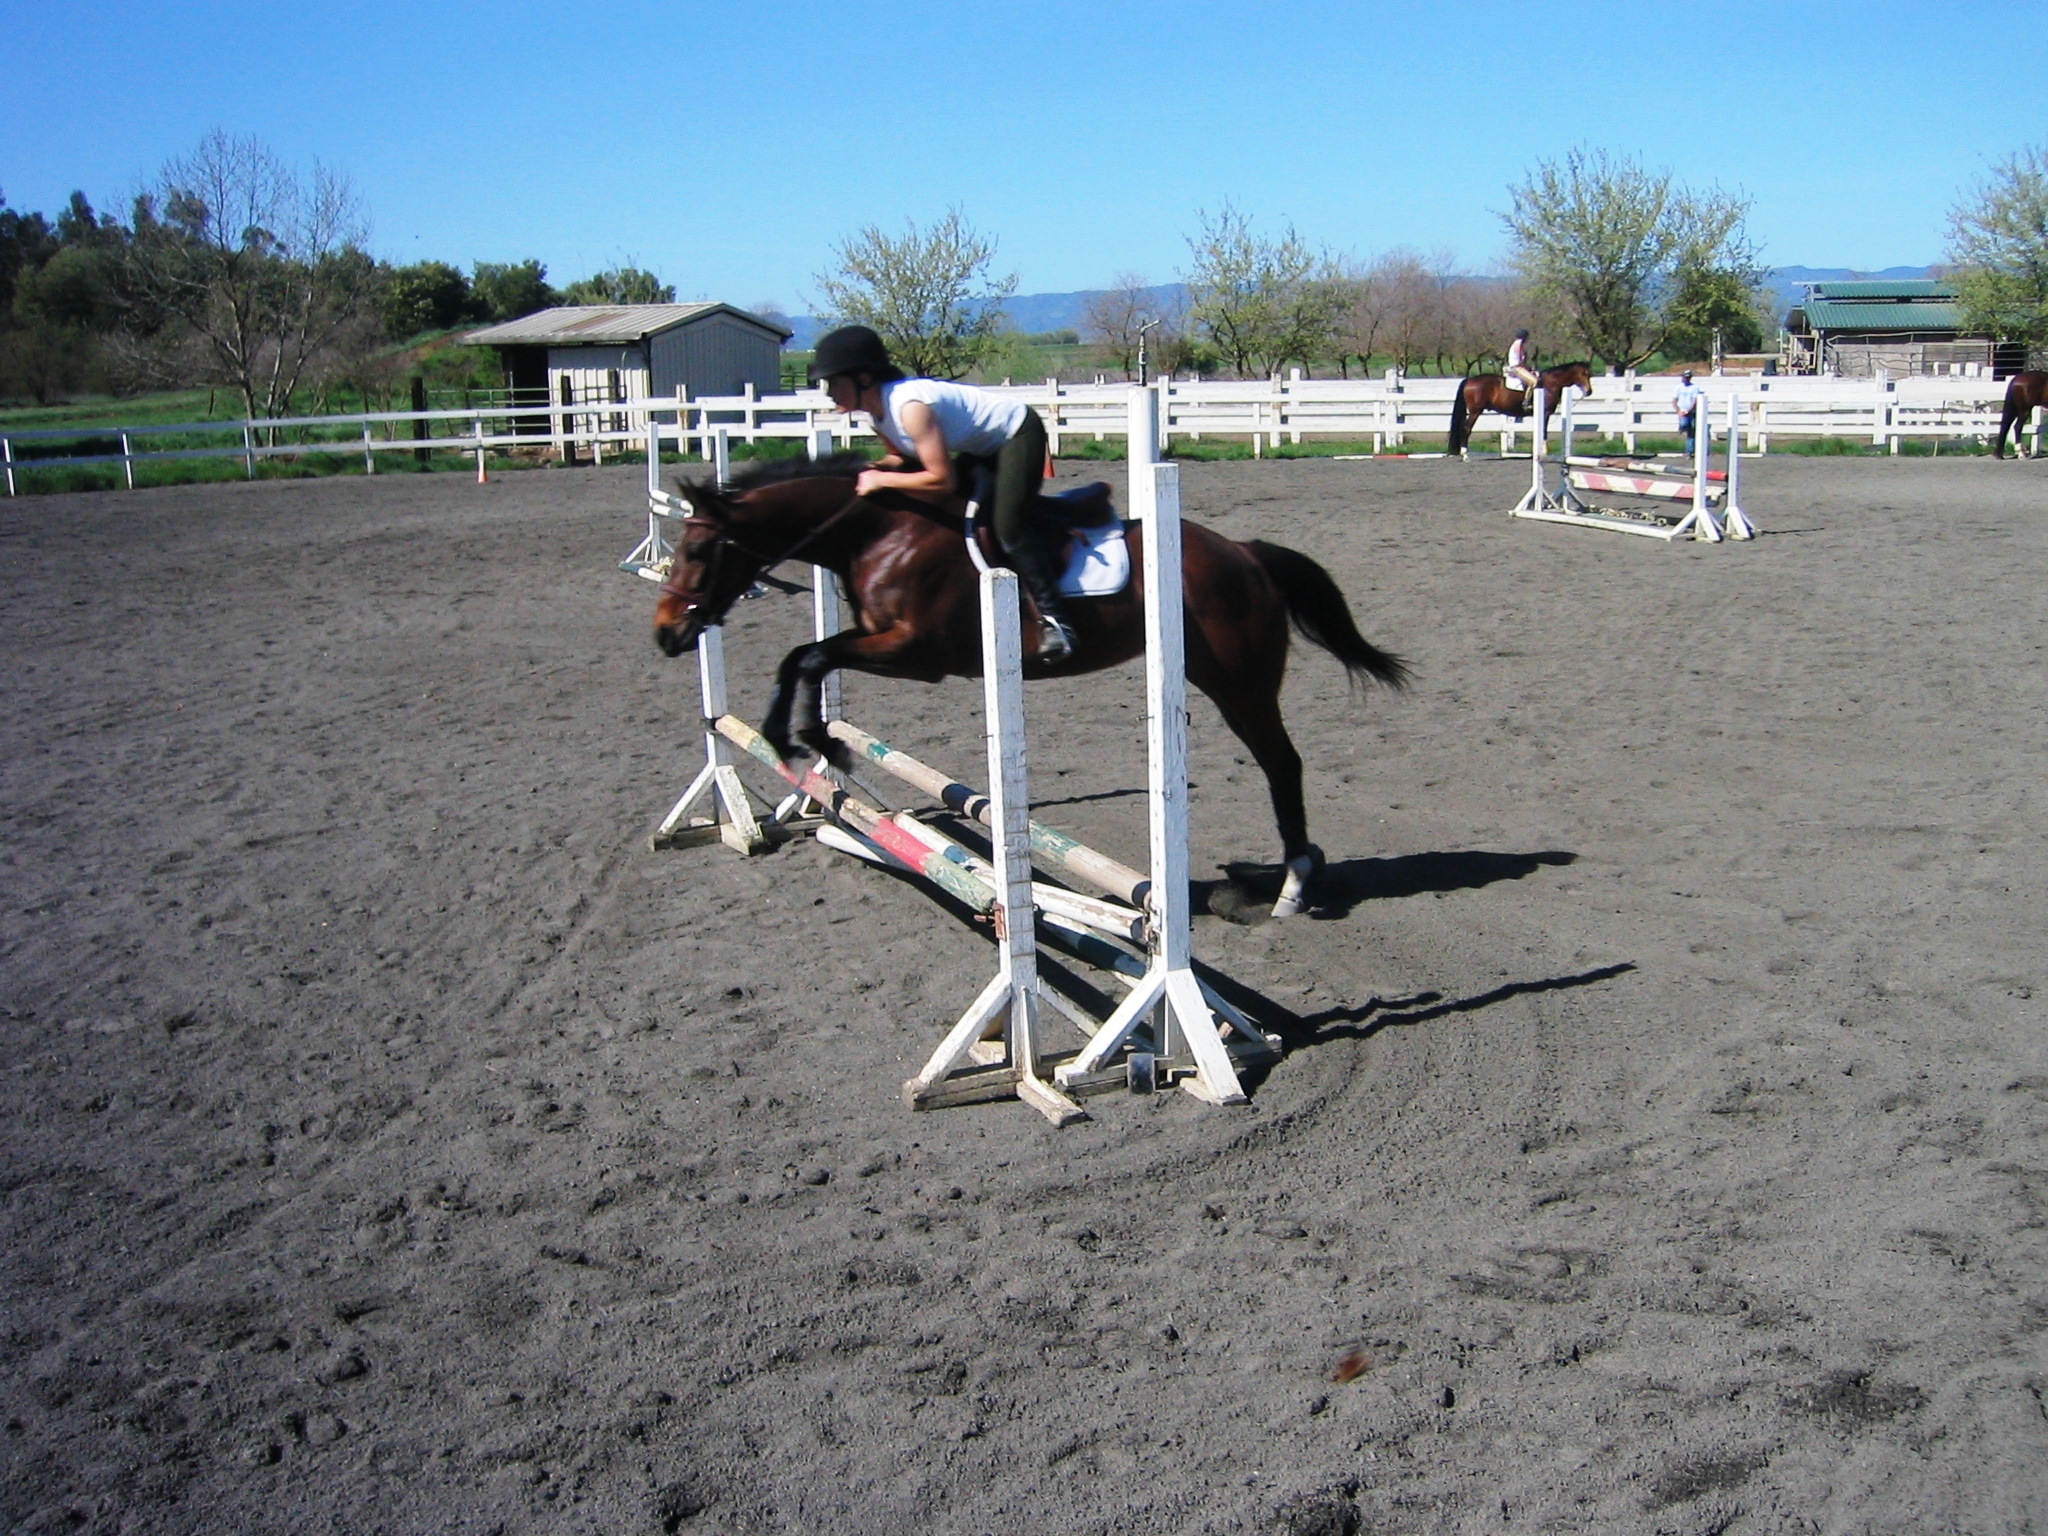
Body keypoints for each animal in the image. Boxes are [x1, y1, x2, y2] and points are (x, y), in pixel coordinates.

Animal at [653, 455, 1409, 908]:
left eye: (699, 548)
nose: (666, 635)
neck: (878, 531)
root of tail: (1246, 553)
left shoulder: (915, 652)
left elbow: (808, 657)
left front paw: (812, 740)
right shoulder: (881, 641)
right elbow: (803, 656)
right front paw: (800, 742)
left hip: (1240, 686)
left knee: (1283, 763)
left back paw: (1294, 885)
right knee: (1282, 763)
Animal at [1446, 362, 1595, 458]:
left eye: (1589, 374)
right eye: (1584, 374)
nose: (1589, 392)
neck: (1549, 384)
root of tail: (1469, 380)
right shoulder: (1545, 413)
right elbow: (1544, 431)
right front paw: (1544, 451)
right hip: (1475, 412)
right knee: (1466, 429)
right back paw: (1465, 454)